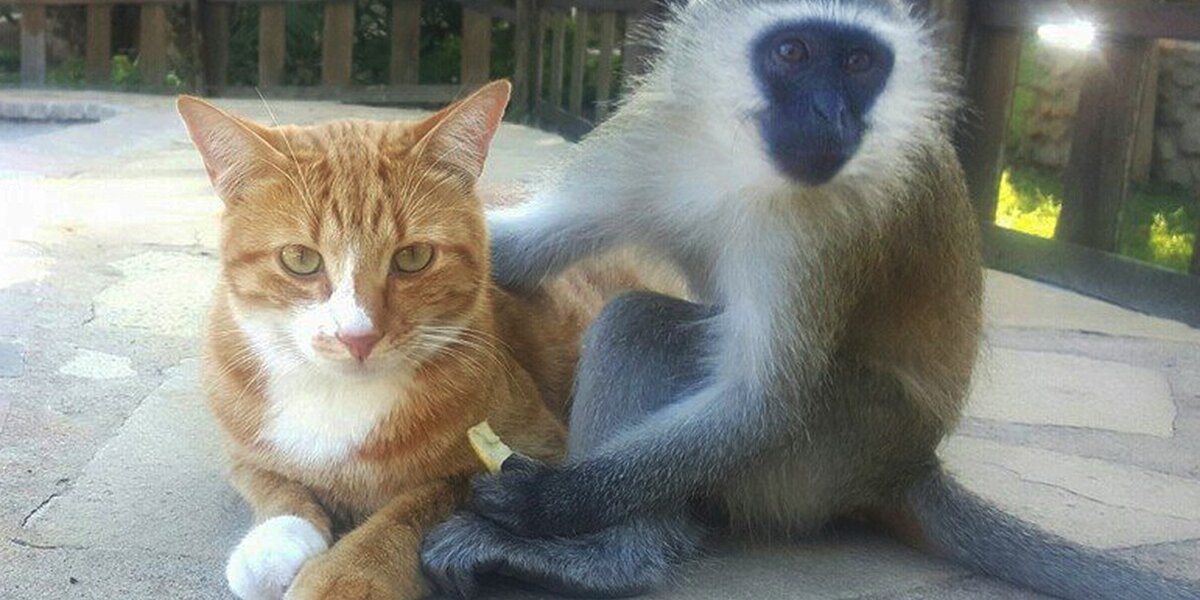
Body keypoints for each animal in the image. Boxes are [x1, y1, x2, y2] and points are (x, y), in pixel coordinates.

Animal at [420, 0, 1200, 598]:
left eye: (858, 63)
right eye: (793, 52)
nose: (830, 114)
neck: (738, 155)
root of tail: (911, 464)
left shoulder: (834, 224)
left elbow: (766, 403)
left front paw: (548, 502)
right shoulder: (650, 133)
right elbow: (518, 253)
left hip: (838, 447)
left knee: (643, 324)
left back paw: (611, 561)